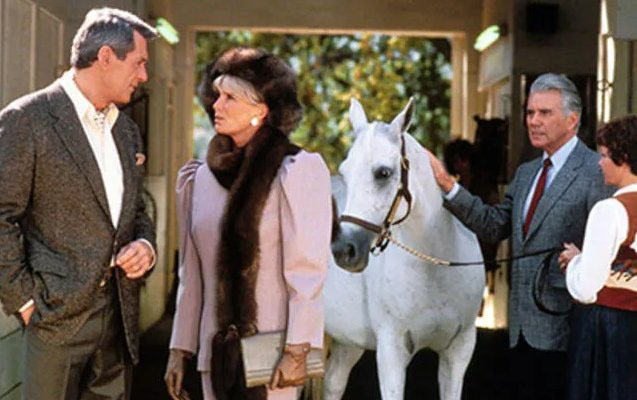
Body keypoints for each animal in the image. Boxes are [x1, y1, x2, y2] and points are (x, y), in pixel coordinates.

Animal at [323, 98, 486, 400]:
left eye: (383, 173)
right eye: (345, 172)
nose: (343, 251)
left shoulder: (458, 351)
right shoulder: (391, 352)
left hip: (346, 341)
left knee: (333, 382)